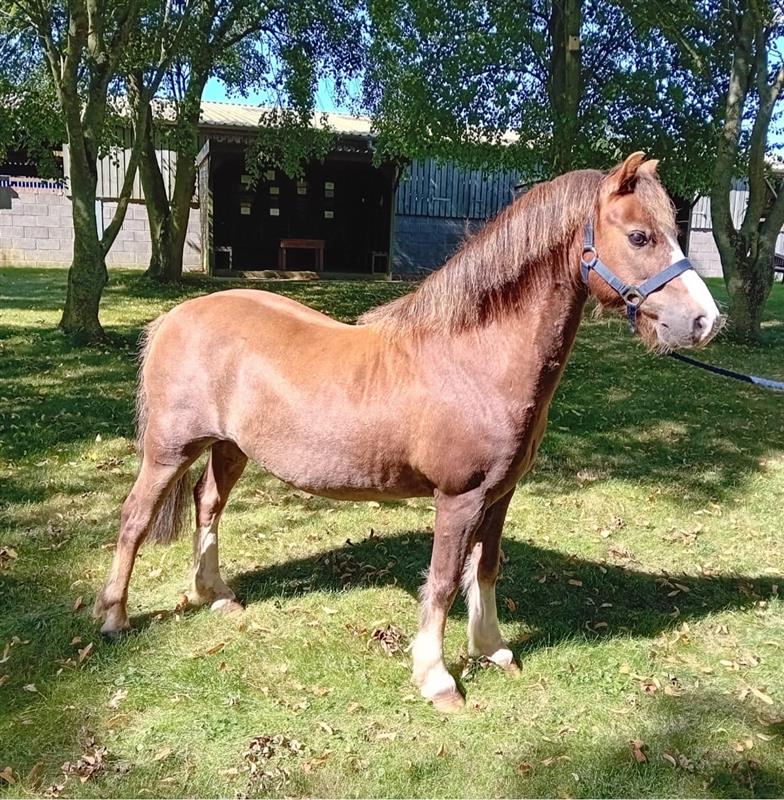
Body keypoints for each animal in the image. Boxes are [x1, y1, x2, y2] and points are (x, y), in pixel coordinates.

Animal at [95, 153, 720, 708]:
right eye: (639, 236)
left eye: (672, 230)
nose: (704, 322)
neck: (476, 359)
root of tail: (174, 317)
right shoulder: (458, 498)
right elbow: (442, 581)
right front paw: (436, 678)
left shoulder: (500, 495)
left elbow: (486, 568)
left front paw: (492, 649)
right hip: (169, 450)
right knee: (135, 518)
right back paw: (114, 617)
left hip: (229, 448)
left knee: (208, 505)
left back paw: (216, 596)